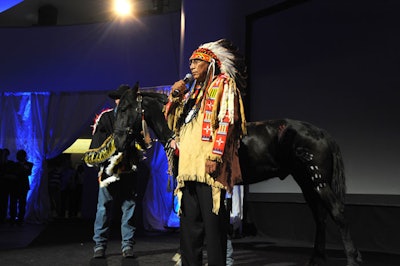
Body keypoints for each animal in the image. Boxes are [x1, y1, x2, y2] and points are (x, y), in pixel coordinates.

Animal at [104, 85, 364, 266]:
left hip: (318, 180)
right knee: (320, 217)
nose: (118, 141)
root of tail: (322, 132)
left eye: (126, 108)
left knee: (338, 213)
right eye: (117, 109)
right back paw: (316, 258)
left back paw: (353, 259)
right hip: (307, 182)